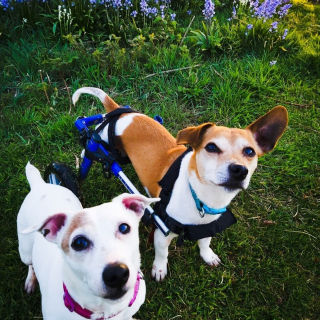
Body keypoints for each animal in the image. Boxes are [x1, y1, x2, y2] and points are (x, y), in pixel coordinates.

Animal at [17, 164, 159, 318]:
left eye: (124, 227)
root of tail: (40, 185)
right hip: (25, 251)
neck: (104, 311)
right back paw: (30, 281)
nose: (117, 274)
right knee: (30, 264)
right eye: (79, 243)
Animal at [74, 87, 288, 280]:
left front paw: (208, 256)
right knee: (90, 150)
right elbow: (162, 254)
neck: (201, 198)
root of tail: (121, 113)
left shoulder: (208, 227)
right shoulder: (162, 234)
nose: (239, 170)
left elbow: (205, 242)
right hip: (100, 142)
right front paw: (159, 270)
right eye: (211, 147)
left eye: (250, 152)